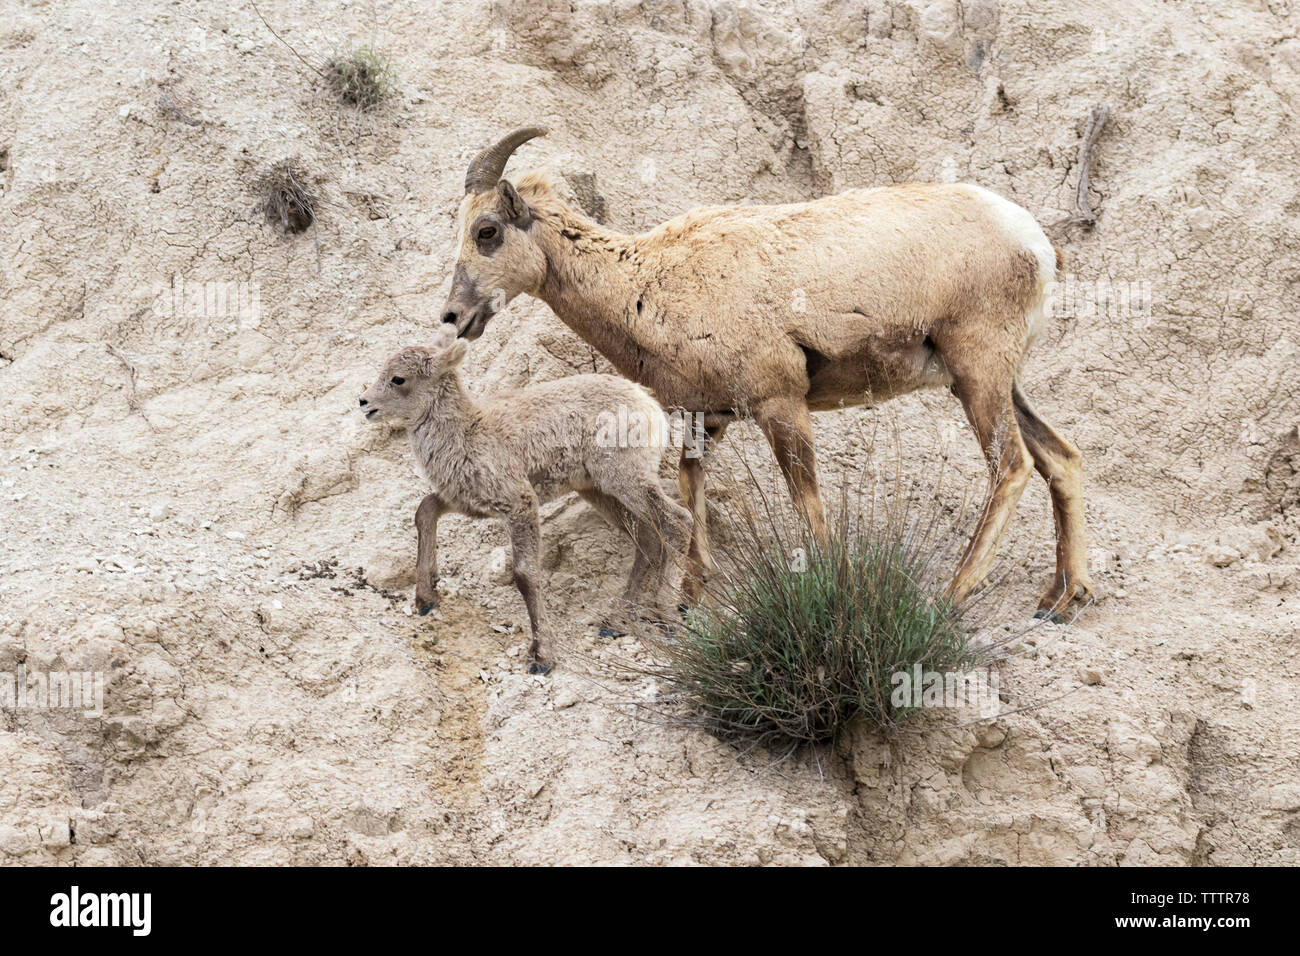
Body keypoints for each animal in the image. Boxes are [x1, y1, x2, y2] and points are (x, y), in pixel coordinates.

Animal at [356, 325, 691, 671]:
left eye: (398, 379)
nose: (364, 402)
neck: (468, 433)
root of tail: (648, 403)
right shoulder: (466, 501)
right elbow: (424, 510)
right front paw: (426, 598)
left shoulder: (520, 503)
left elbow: (525, 574)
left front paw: (542, 657)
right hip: (599, 490)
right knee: (648, 537)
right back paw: (614, 623)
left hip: (624, 478)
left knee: (678, 520)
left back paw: (666, 616)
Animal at [441, 127, 1092, 621]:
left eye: (487, 231)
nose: (453, 318)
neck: (647, 285)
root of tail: (1035, 243)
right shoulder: (707, 418)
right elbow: (691, 492)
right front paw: (690, 599)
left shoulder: (781, 405)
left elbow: (808, 507)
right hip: (993, 381)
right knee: (1060, 457)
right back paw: (1060, 600)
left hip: (978, 373)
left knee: (1013, 466)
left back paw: (950, 598)